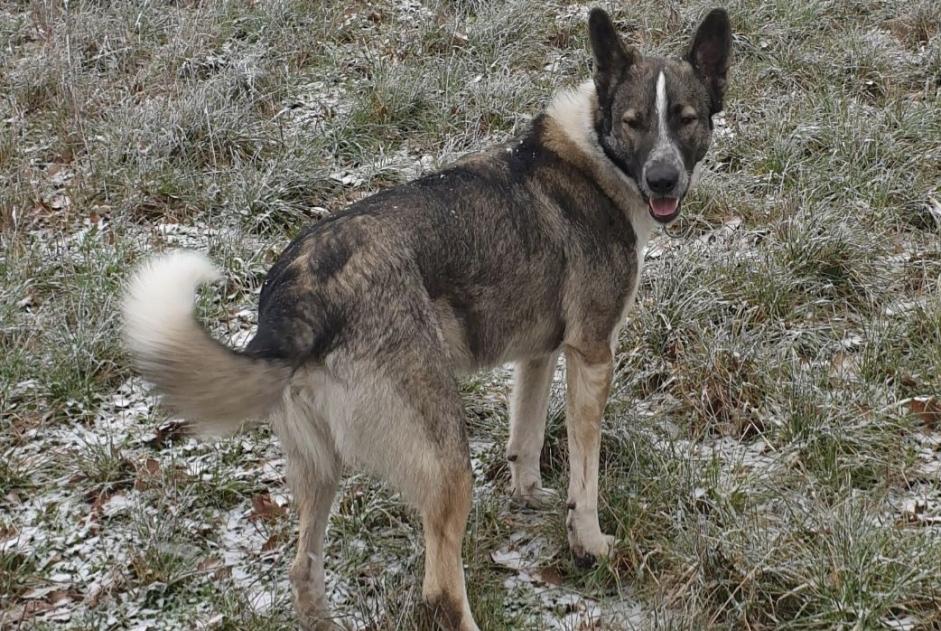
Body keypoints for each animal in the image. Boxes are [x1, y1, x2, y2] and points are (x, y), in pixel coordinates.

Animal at [121, 7, 732, 628]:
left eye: (685, 119)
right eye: (634, 123)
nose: (663, 180)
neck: (595, 158)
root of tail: (300, 292)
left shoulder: (538, 354)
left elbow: (527, 436)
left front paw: (528, 497)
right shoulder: (592, 354)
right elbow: (585, 480)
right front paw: (587, 543)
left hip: (320, 469)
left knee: (301, 571)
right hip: (444, 458)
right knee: (439, 590)